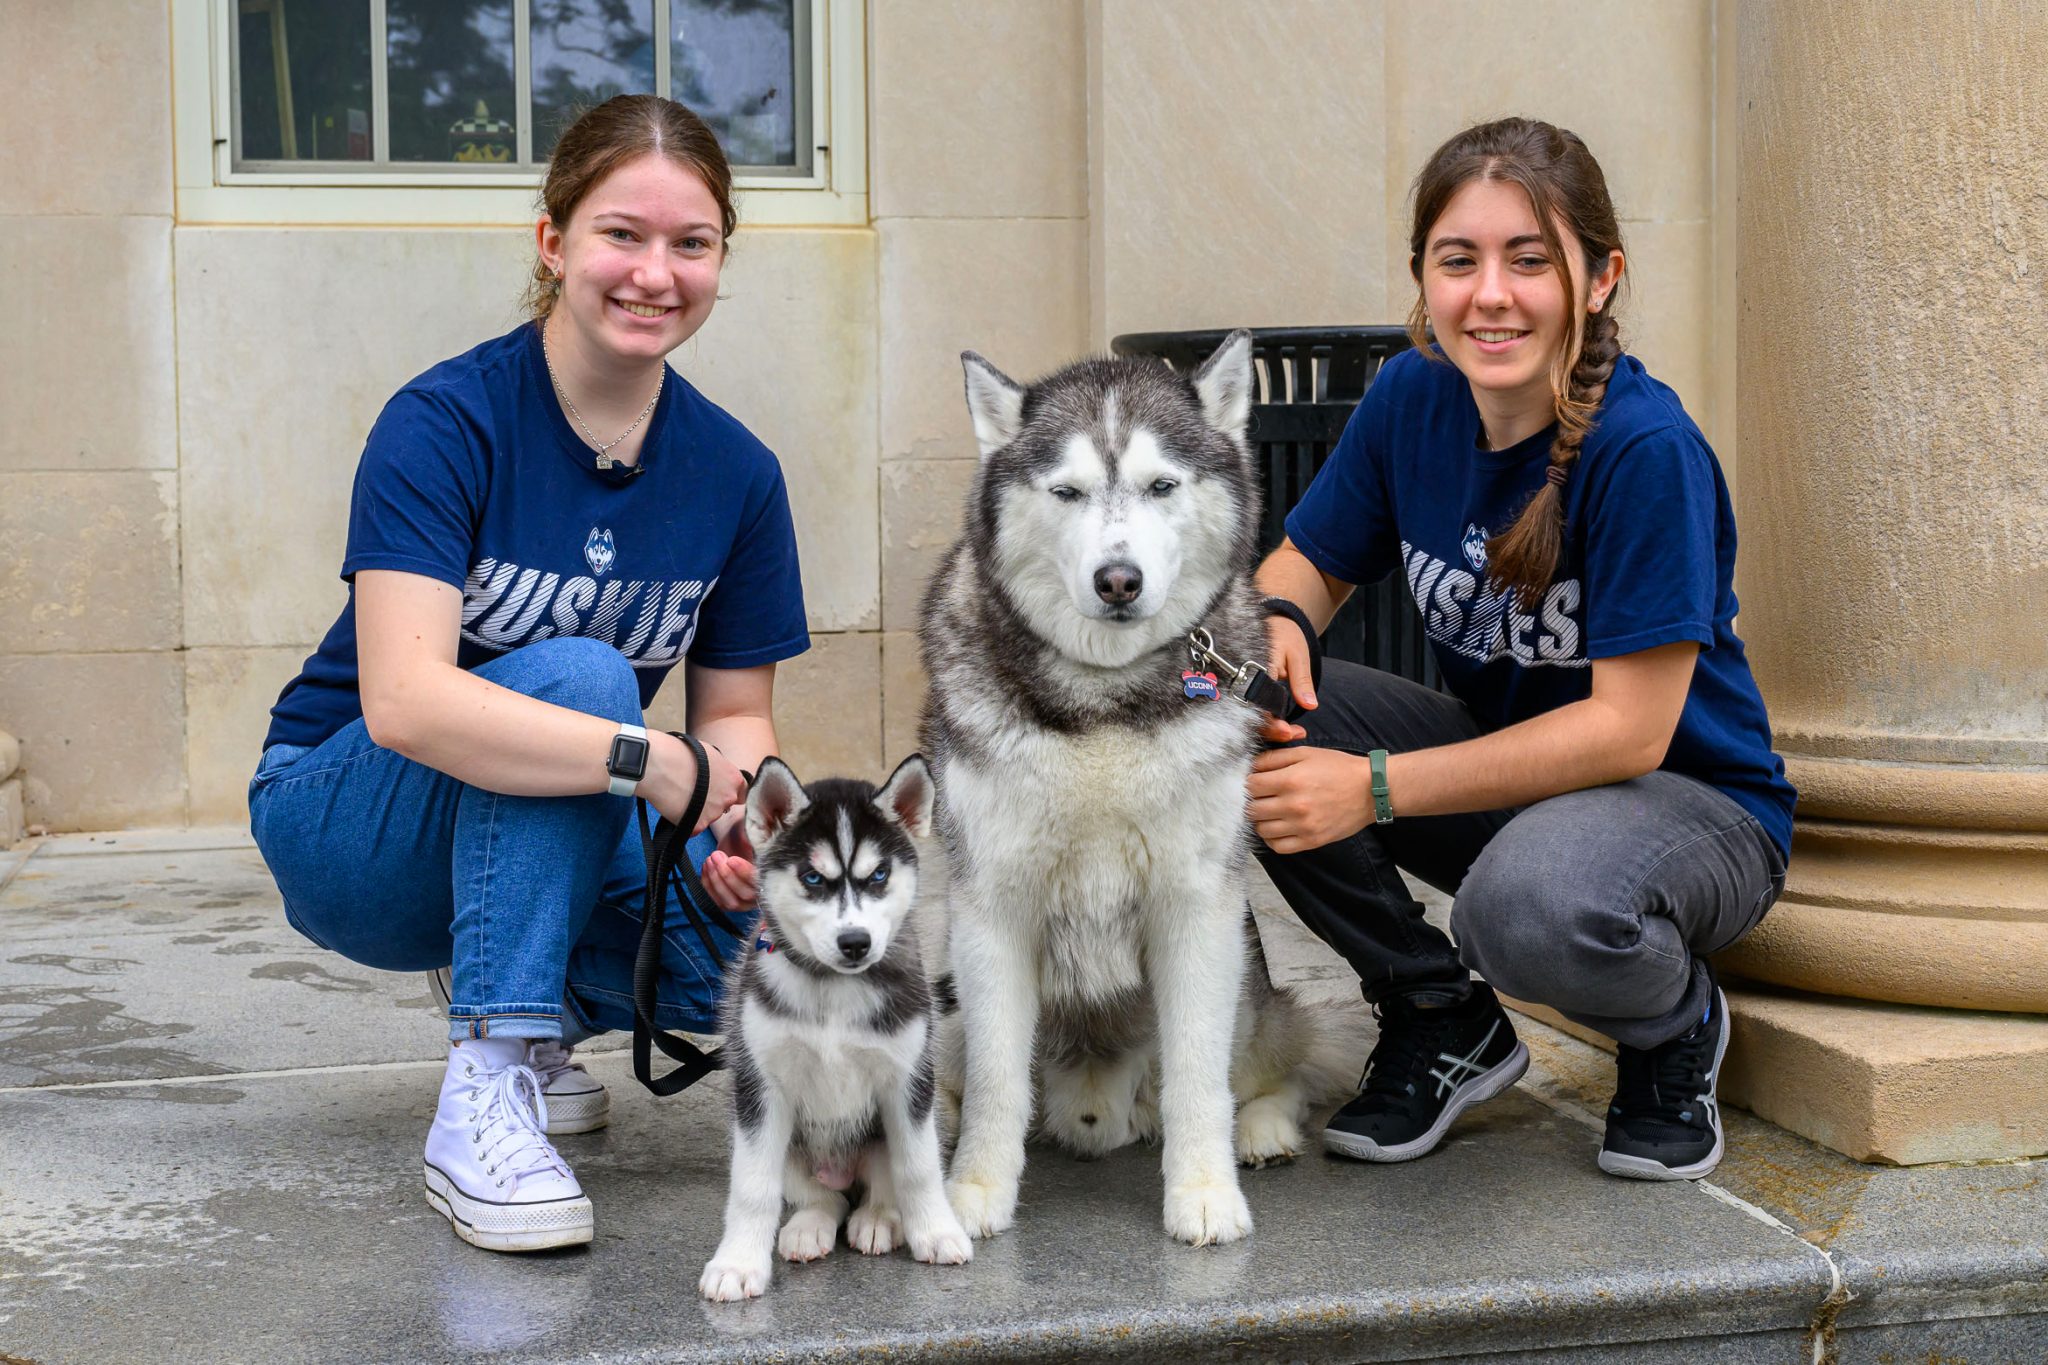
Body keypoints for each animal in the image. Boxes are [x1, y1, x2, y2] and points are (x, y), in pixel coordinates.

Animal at [700, 757, 970, 1301]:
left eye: (880, 875)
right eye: (812, 878)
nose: (855, 942)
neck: (833, 990)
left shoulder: (909, 1081)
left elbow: (918, 1168)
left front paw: (936, 1232)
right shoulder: (760, 1090)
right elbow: (752, 1186)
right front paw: (738, 1263)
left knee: (878, 1189)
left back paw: (879, 1220)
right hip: (782, 1142)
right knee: (822, 1199)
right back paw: (809, 1226)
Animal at [921, 333, 1335, 1252]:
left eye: (1161, 486)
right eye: (1068, 491)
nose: (1119, 579)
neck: (1103, 702)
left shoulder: (1198, 909)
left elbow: (1198, 1077)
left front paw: (1205, 1192)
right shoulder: (990, 909)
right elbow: (997, 1081)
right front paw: (972, 1192)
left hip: (1250, 991)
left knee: (1270, 1066)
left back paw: (1264, 1129)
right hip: (946, 1002)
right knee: (955, 1081)